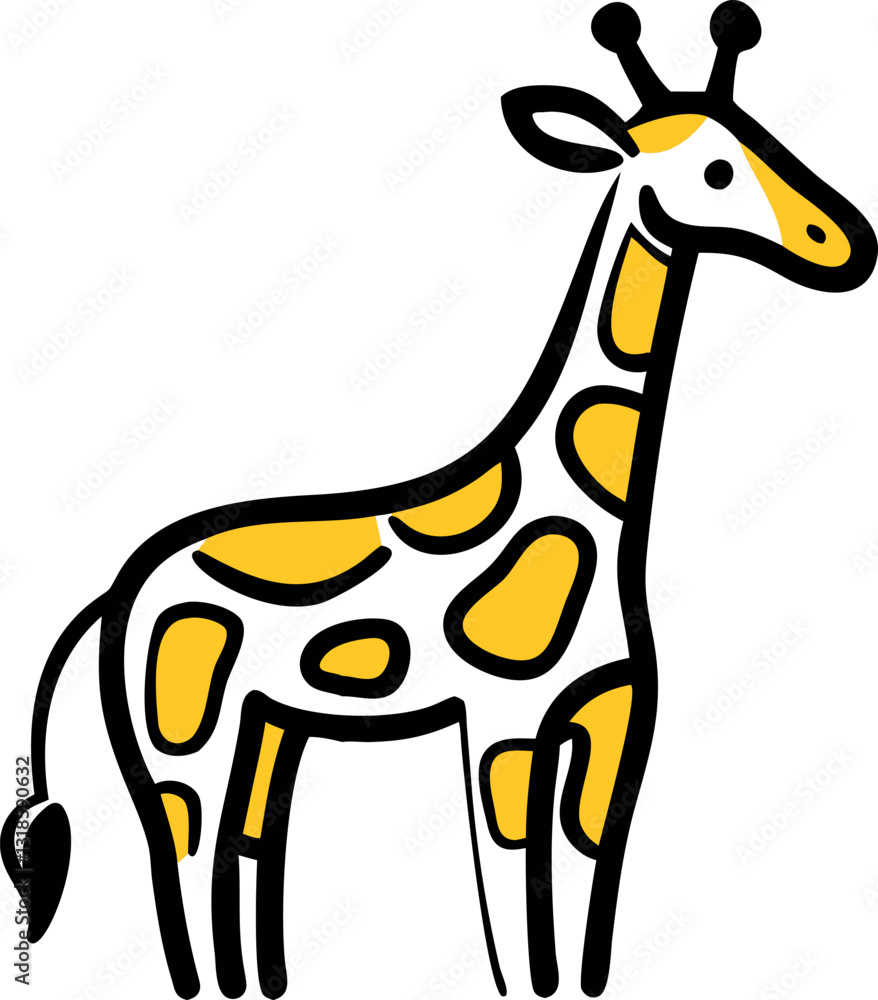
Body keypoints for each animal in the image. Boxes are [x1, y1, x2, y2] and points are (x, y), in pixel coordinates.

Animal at [3, 3, 875, 998]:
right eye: (717, 169)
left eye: (766, 139)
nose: (843, 242)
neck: (605, 523)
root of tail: (116, 591)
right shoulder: (504, 719)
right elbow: (513, 905)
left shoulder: (613, 715)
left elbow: (588, 897)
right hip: (180, 729)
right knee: (181, 849)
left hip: (268, 725)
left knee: (249, 848)